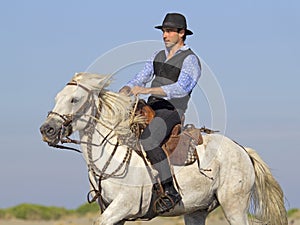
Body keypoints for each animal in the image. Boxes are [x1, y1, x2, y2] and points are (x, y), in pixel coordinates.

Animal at [40, 72, 288, 225]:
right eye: (57, 97)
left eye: (74, 99)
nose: (47, 129)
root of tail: (242, 150)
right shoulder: (112, 211)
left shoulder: (124, 206)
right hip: (196, 210)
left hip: (234, 206)